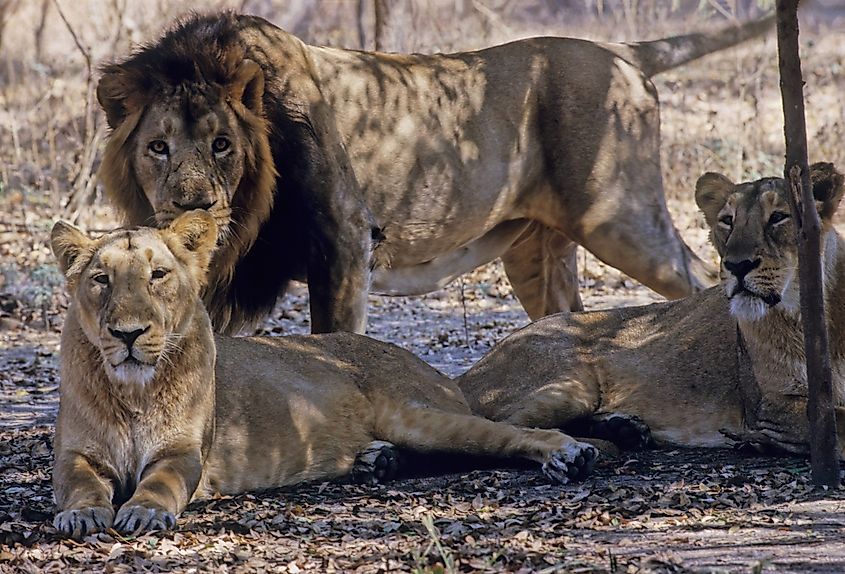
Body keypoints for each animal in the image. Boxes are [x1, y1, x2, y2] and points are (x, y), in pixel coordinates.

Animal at [49, 210, 599, 537]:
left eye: (158, 275)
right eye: (101, 280)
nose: (127, 334)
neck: (133, 393)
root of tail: (429, 367)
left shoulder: (184, 453)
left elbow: (160, 483)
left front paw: (143, 510)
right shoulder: (76, 452)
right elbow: (78, 483)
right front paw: (82, 512)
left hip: (417, 415)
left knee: (501, 435)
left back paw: (568, 455)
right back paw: (377, 461)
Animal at [95, 12, 773, 335]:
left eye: (222, 145)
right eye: (157, 147)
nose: (193, 207)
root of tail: (619, 52)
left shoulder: (345, 237)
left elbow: (331, 338)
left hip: (621, 219)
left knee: (704, 279)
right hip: (536, 252)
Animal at [457, 163, 845, 457]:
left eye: (779, 217)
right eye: (727, 220)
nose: (737, 265)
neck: (804, 315)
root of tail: (467, 373)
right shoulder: (772, 402)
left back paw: (625, 430)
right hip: (567, 379)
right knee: (498, 426)